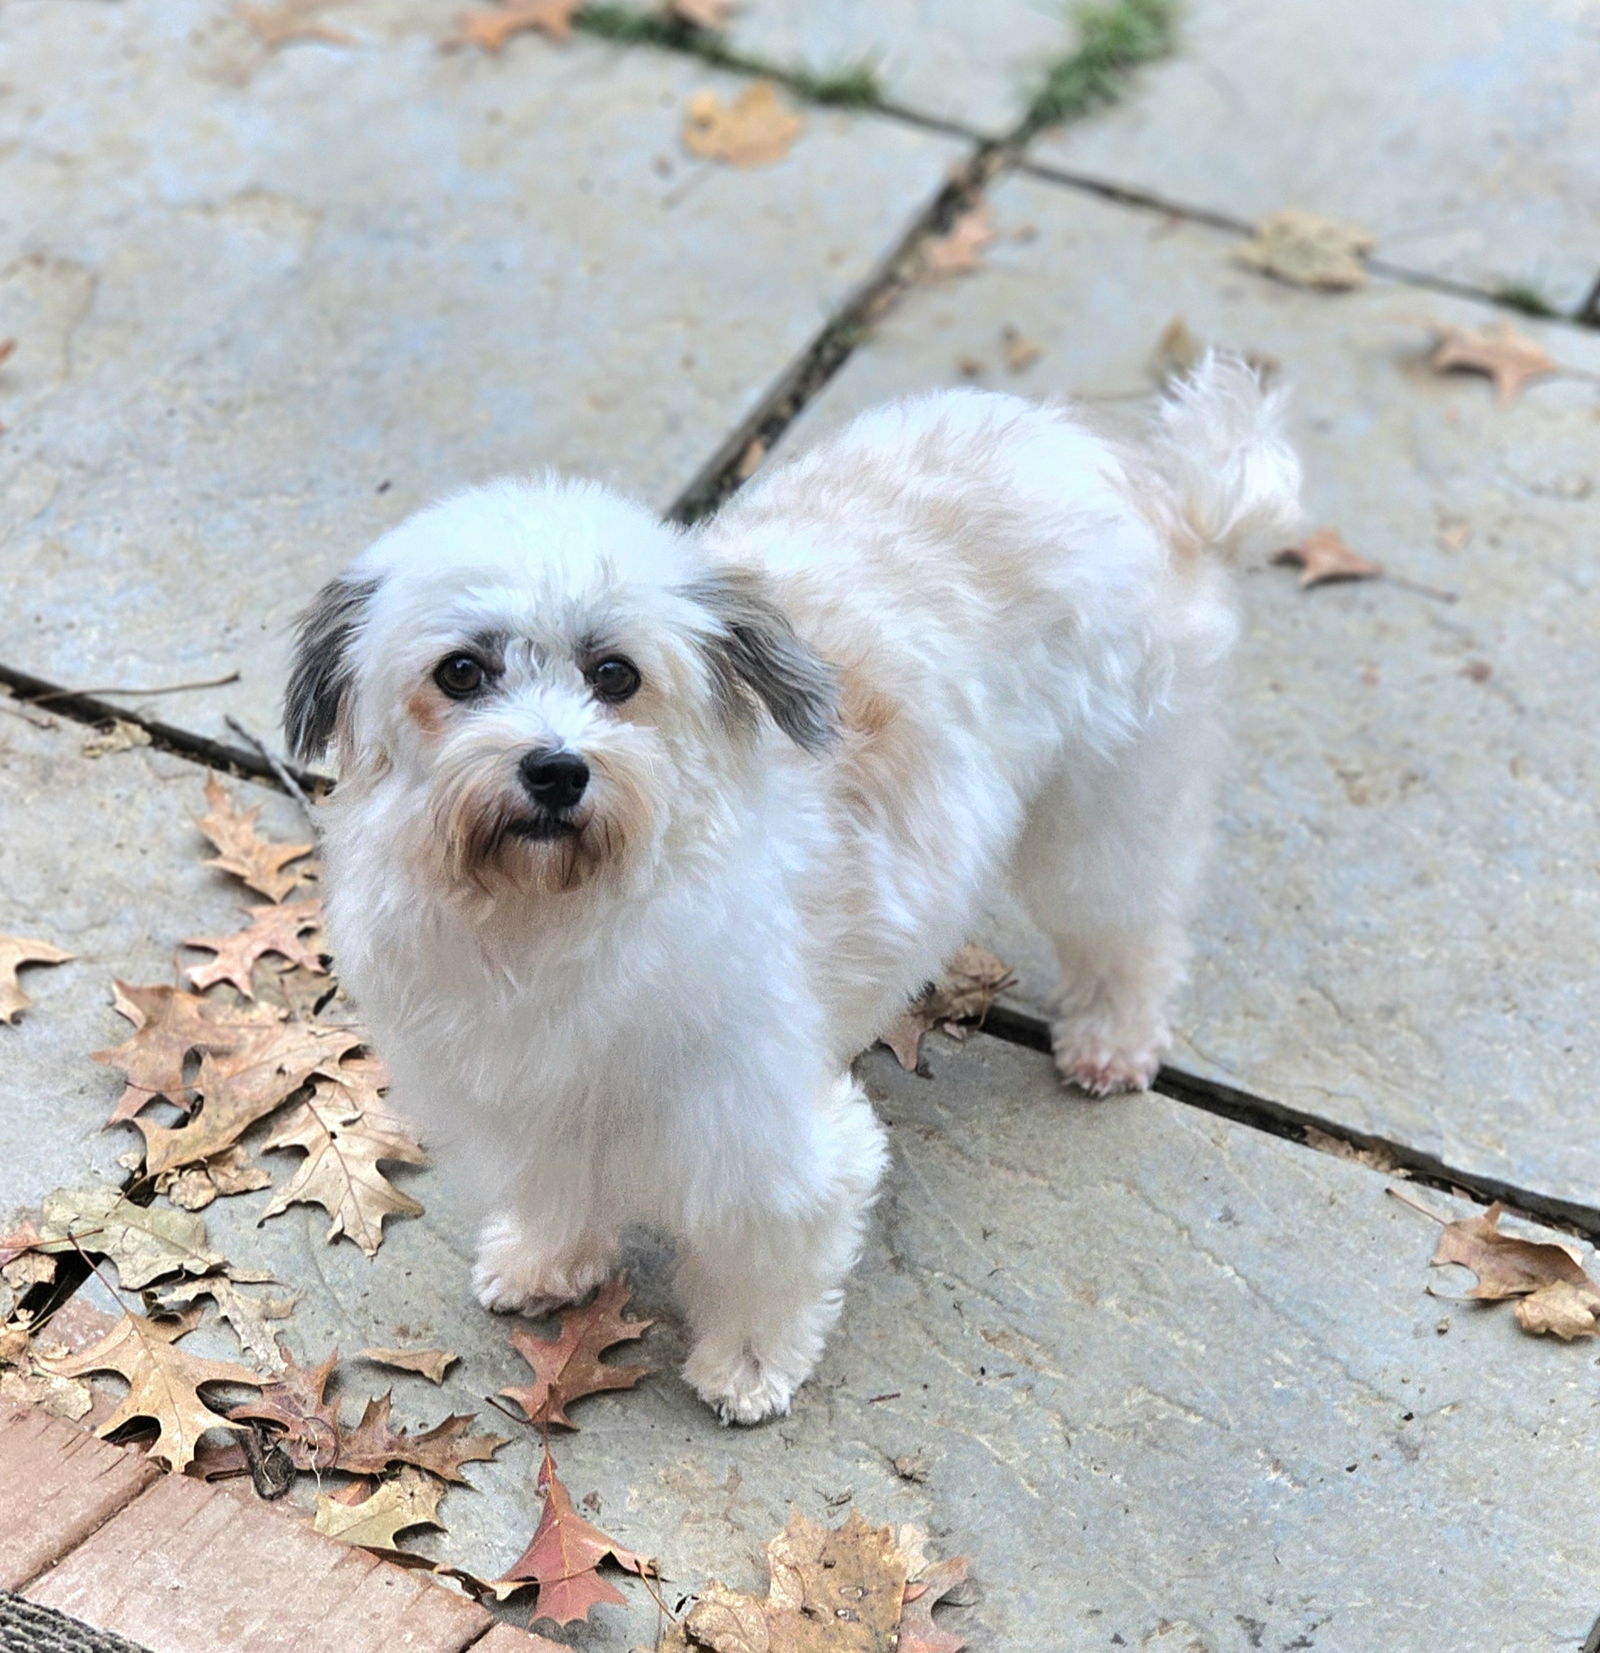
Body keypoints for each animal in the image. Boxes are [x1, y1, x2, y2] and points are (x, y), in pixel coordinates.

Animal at [284, 362, 1302, 1421]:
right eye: (461, 671)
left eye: (616, 674)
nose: (556, 769)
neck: (552, 913)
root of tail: (1146, 472)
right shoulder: (539, 1095)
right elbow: (558, 1185)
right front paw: (545, 1260)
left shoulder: (763, 1129)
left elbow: (771, 1247)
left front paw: (749, 1361)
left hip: (1105, 808)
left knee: (1132, 928)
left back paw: (1111, 1038)